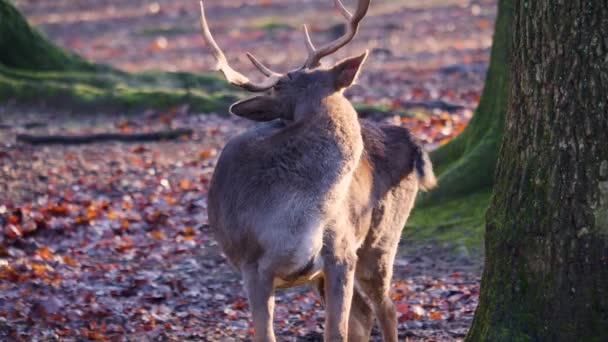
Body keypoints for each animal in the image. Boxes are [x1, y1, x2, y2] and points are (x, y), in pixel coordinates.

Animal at [201, 1, 436, 340]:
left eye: (282, 83)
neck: (294, 219)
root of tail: (410, 138)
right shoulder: (252, 264)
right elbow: (267, 334)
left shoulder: (342, 253)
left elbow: (335, 331)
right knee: (366, 314)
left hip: (382, 238)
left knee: (387, 308)